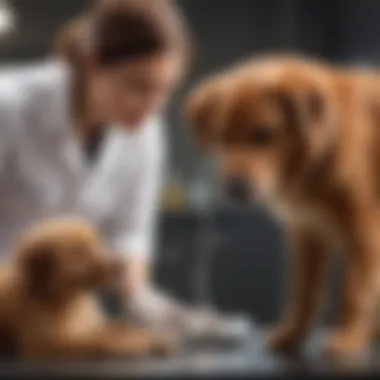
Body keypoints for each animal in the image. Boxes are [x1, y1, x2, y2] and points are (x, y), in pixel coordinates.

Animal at [0, 218, 177, 360]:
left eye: (98, 242)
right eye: (80, 252)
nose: (122, 264)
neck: (72, 302)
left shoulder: (92, 326)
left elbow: (121, 327)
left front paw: (153, 337)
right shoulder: (45, 344)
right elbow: (101, 341)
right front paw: (134, 343)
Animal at [186, 55, 380, 358]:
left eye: (264, 134)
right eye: (221, 136)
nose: (235, 187)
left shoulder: (364, 232)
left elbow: (354, 292)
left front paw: (348, 339)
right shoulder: (306, 233)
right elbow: (303, 292)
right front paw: (292, 334)